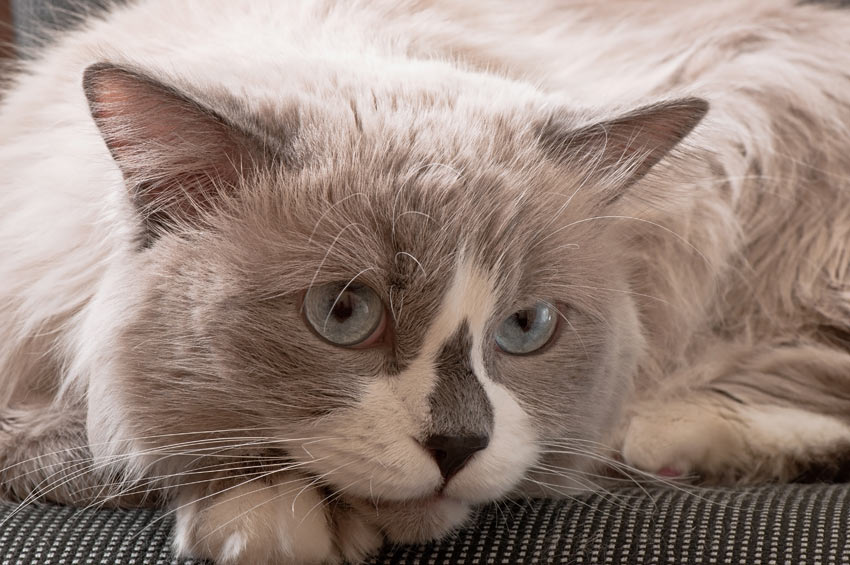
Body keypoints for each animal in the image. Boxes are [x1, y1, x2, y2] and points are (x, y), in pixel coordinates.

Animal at [1, 0, 848, 560]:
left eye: (526, 327)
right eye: (344, 312)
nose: (459, 444)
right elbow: (95, 445)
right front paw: (267, 514)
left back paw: (662, 438)